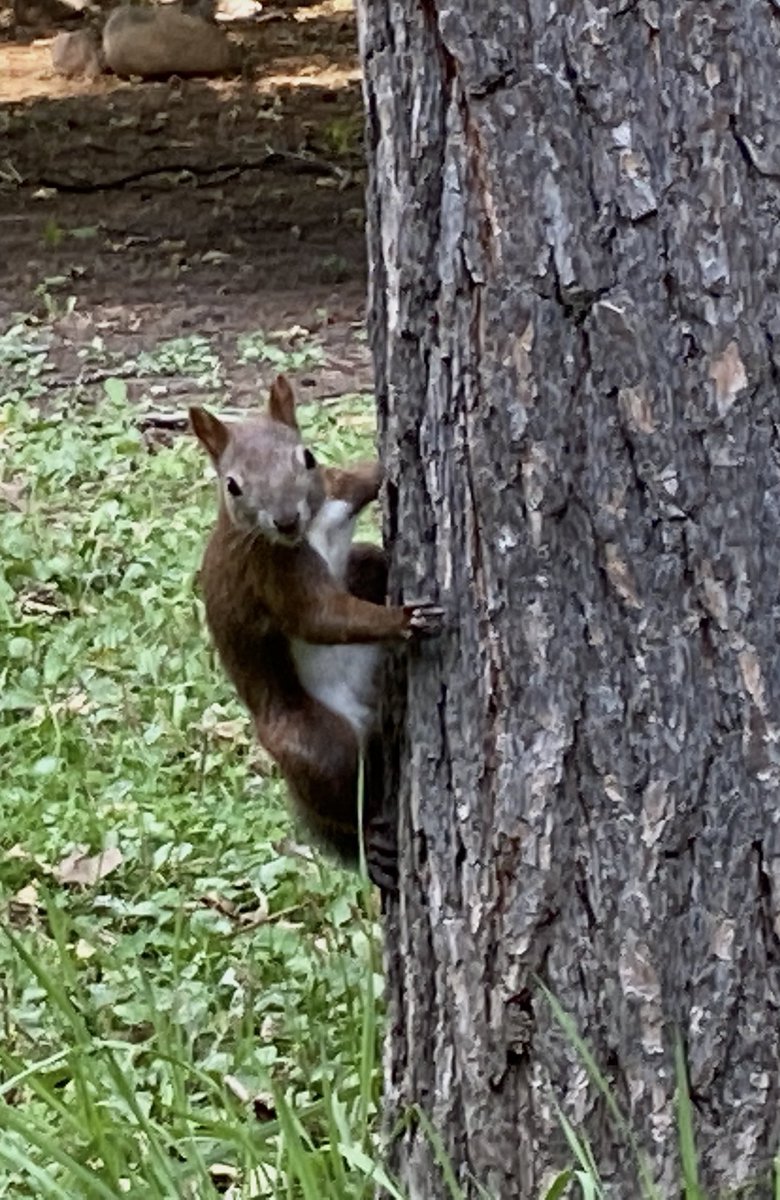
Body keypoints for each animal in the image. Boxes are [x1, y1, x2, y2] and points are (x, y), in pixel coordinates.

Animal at [190, 375, 443, 888]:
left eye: (306, 458)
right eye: (233, 485)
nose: (286, 520)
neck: (310, 532)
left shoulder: (337, 491)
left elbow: (366, 475)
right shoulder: (271, 574)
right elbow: (323, 618)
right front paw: (404, 620)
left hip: (364, 569)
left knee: (370, 562)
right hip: (315, 738)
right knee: (339, 794)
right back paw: (369, 840)